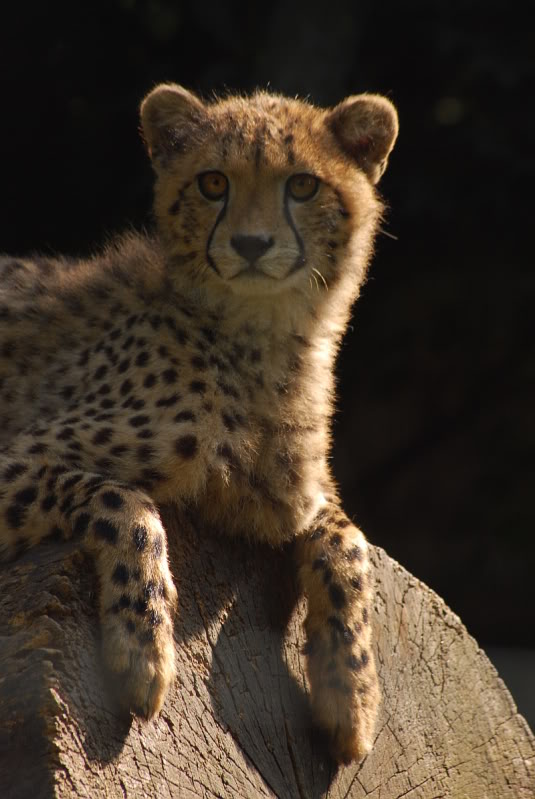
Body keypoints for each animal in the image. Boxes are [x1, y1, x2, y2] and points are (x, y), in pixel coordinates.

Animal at [0, 83, 398, 764]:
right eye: (214, 183)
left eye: (302, 185)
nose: (251, 244)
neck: (265, 342)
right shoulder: (21, 456)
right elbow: (125, 501)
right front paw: (141, 650)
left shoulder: (292, 496)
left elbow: (349, 540)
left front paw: (353, 691)